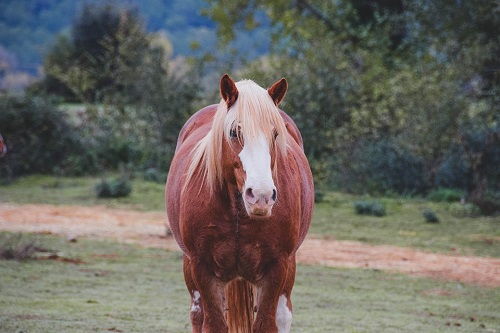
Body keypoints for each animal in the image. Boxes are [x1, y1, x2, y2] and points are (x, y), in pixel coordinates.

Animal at [167, 74, 312, 330]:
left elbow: (265, 324)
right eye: (234, 132)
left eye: (275, 134)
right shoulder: (202, 268)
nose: (262, 196)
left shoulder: (277, 268)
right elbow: (214, 324)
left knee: (283, 315)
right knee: (197, 314)